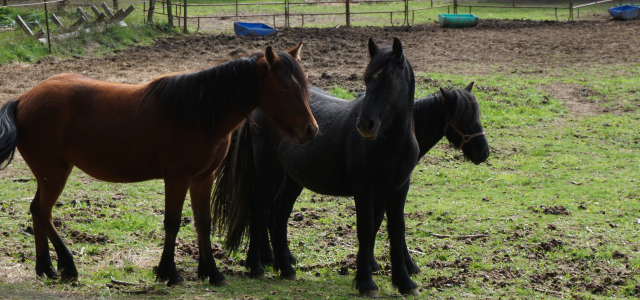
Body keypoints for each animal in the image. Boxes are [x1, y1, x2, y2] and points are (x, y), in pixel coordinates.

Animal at [0, 43, 318, 288]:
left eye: (304, 85)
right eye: (285, 85)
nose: (311, 130)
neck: (199, 113)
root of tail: (22, 99)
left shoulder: (203, 177)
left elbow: (203, 223)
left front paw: (212, 273)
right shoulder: (176, 176)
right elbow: (173, 222)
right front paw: (169, 273)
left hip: (48, 175)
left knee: (36, 211)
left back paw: (45, 267)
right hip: (54, 174)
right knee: (44, 213)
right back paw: (67, 266)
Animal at [214, 38, 420, 298]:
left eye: (390, 81)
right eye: (366, 80)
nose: (365, 125)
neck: (391, 144)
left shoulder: (399, 189)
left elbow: (397, 230)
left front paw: (404, 282)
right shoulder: (364, 189)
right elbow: (366, 229)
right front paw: (366, 282)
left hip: (291, 178)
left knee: (278, 213)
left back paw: (285, 267)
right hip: (267, 171)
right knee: (259, 210)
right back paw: (256, 266)